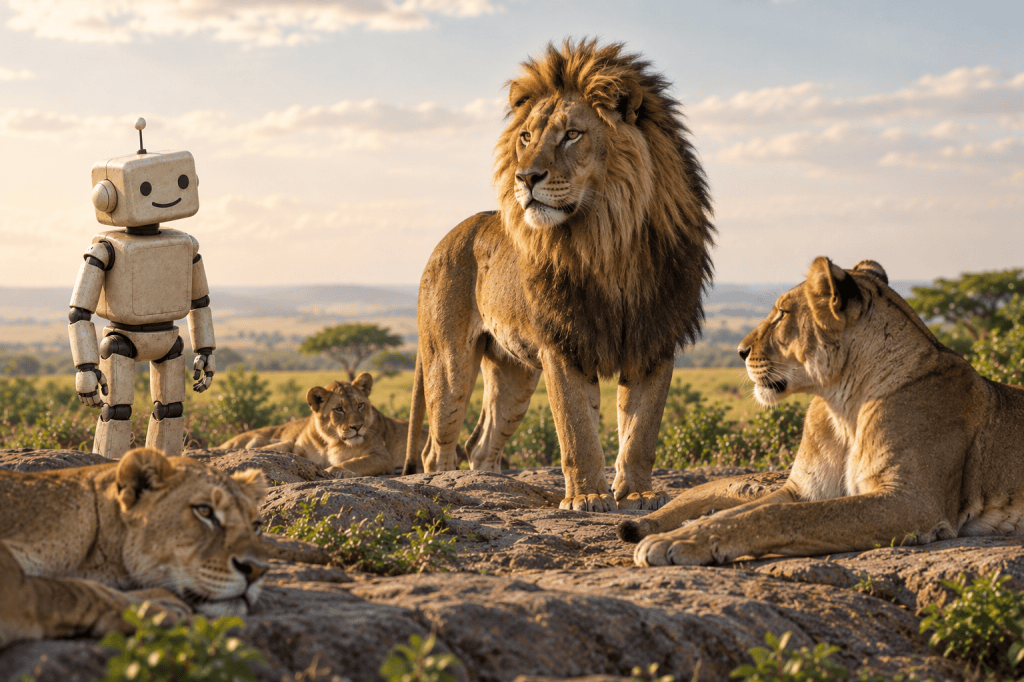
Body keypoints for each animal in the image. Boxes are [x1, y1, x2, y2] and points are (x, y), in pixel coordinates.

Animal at [0, 447, 268, 646]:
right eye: (204, 511)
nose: (257, 570)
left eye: (256, 525)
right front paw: (159, 610)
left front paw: (156, 601)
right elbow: (71, 590)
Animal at [219, 372, 425, 478]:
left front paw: (333, 472)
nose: (357, 427)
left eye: (360, 405)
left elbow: (353, 462)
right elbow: (280, 448)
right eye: (339, 409)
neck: (331, 441)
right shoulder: (298, 448)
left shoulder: (382, 457)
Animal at [403, 39, 714, 512]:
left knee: (481, 443)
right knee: (437, 447)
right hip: (448, 364)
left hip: (513, 373)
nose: (525, 176)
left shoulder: (655, 338)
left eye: (572, 135)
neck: (607, 240)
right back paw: (451, 489)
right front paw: (587, 497)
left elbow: (641, 432)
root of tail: (446, 238)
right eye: (526, 137)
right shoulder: (563, 341)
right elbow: (576, 429)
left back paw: (493, 487)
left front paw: (638, 493)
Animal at [619, 256, 1024, 566]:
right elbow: (740, 511)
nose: (739, 351)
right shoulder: (804, 490)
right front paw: (684, 533)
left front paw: (678, 542)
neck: (842, 406)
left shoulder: (914, 502)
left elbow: (776, 514)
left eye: (782, 314)